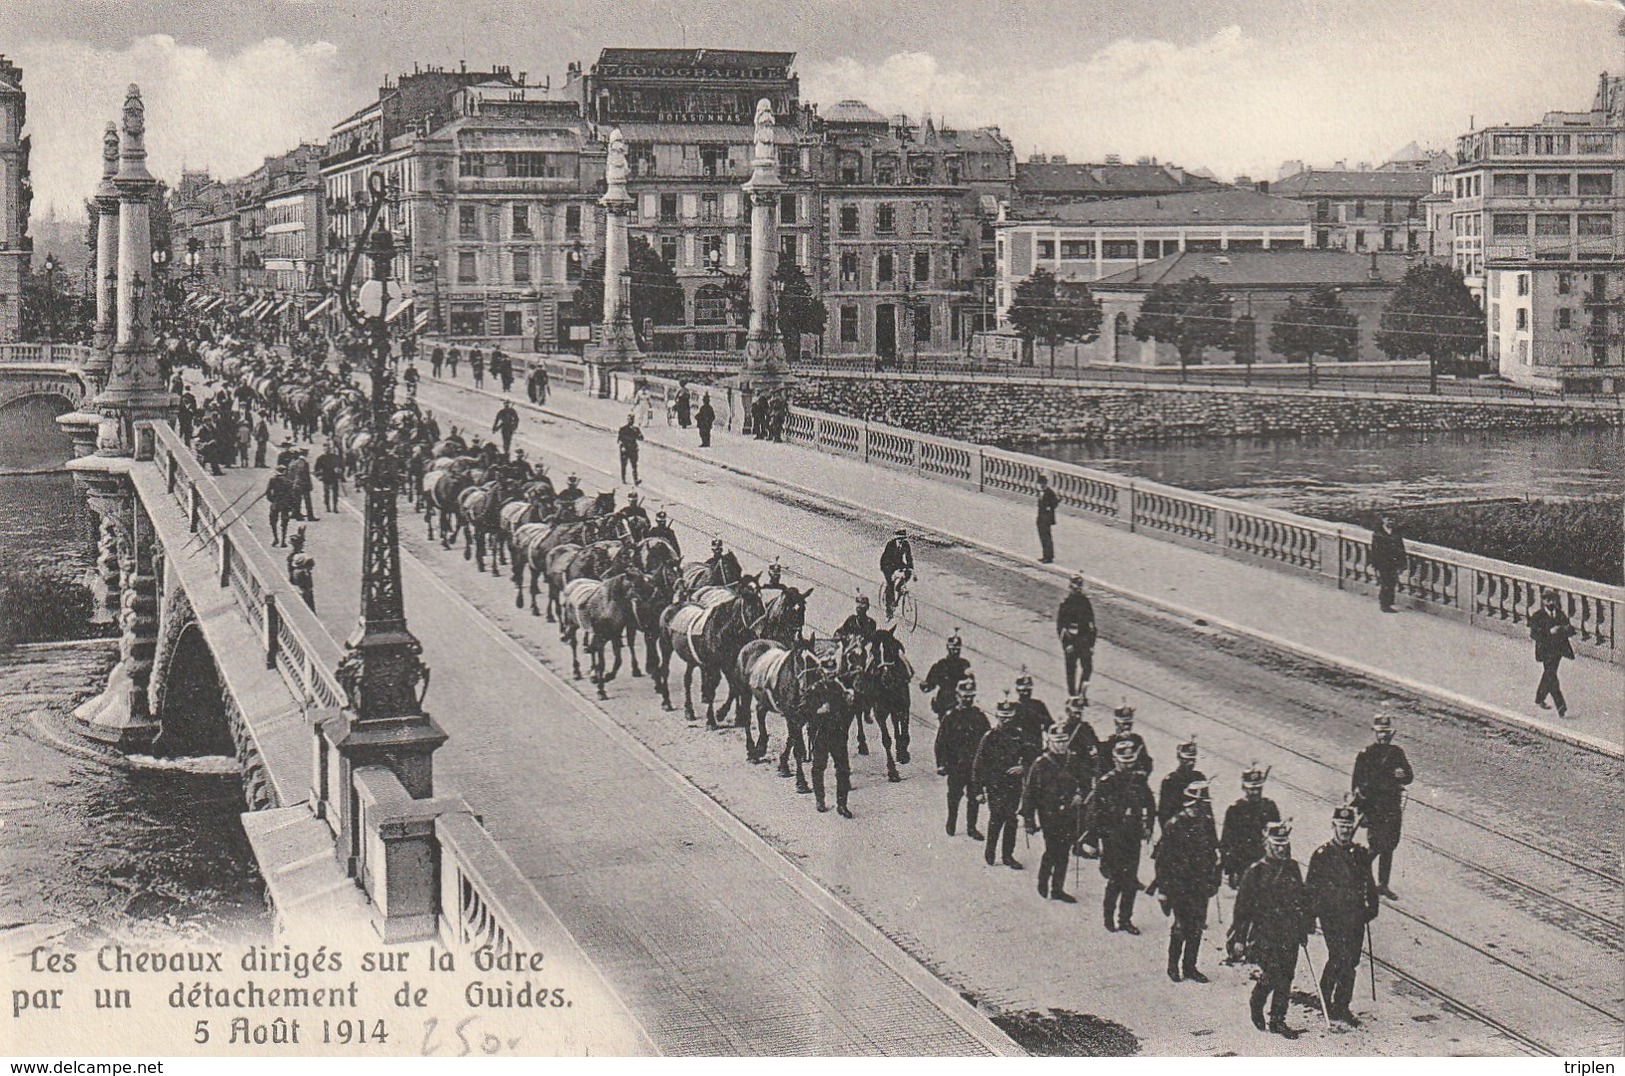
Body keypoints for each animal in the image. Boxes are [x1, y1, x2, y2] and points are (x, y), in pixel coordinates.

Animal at [656, 578, 763, 728]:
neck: (721, 631)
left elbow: (734, 687)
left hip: (691, 658)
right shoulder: (712, 666)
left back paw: (689, 711)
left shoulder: (729, 664)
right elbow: (712, 689)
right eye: (750, 607)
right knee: (665, 670)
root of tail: (672, 606)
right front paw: (712, 720)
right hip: (665, 646)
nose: (760, 631)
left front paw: (732, 716)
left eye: (762, 604)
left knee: (687, 679)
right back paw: (667, 703)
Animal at [851, 624, 916, 783]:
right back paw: (862, 744)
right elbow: (886, 739)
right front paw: (892, 772)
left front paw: (903, 753)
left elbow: (904, 729)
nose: (887, 677)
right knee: (858, 714)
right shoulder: (879, 711)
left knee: (894, 720)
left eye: (892, 649)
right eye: (874, 652)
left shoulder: (904, 704)